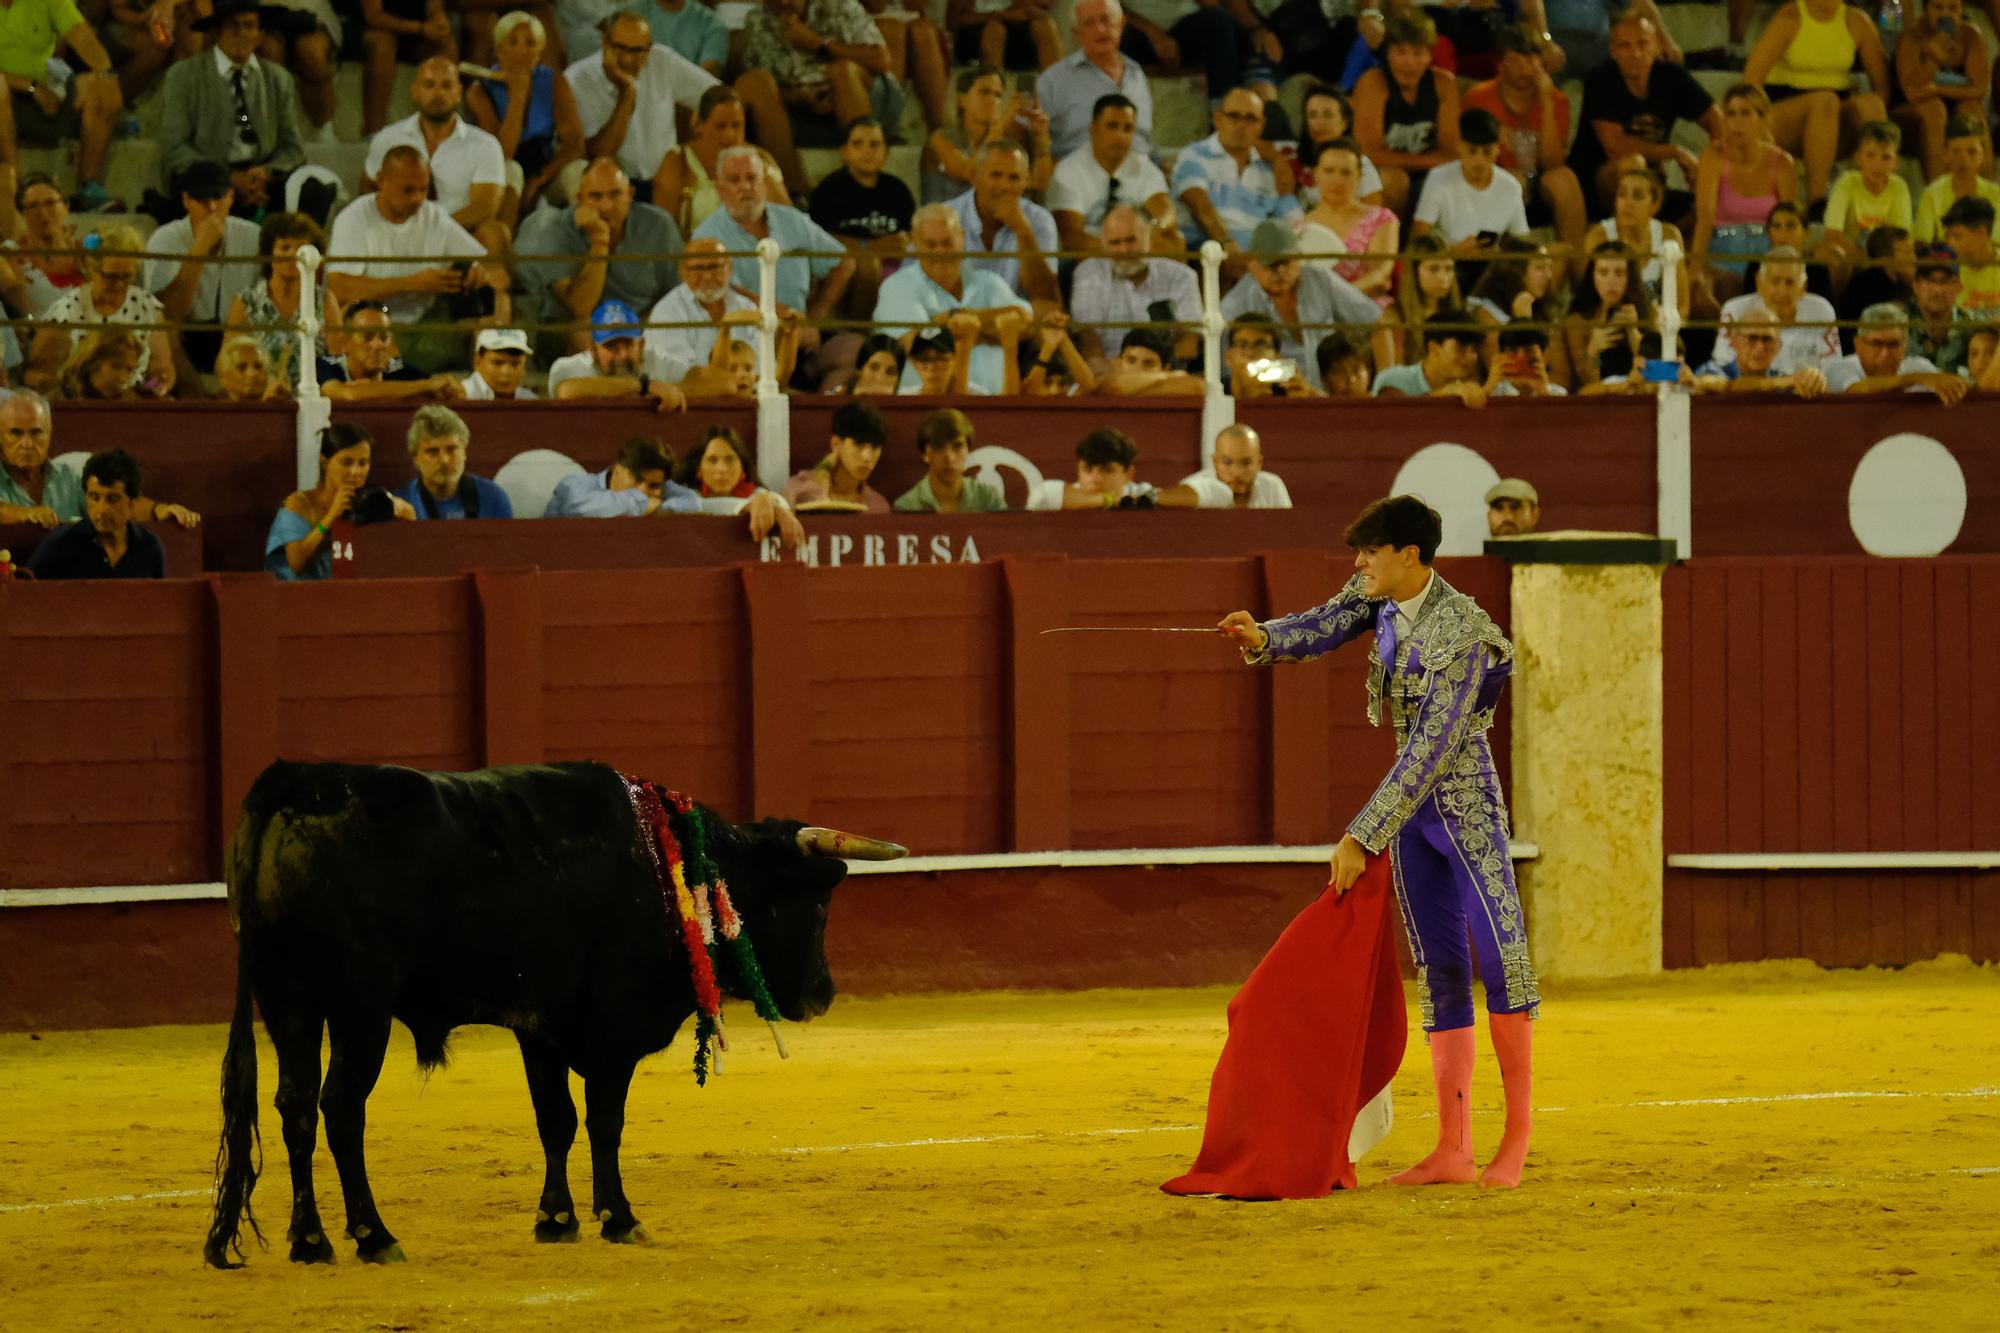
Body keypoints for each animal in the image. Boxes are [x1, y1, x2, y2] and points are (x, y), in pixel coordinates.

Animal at [203, 756, 908, 1264]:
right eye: (816, 904)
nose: (823, 994)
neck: (668, 866)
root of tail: (293, 779)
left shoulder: (538, 1027)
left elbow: (556, 1121)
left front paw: (556, 1217)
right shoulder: (614, 1027)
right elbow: (603, 1120)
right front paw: (619, 1217)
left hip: (288, 998)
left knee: (294, 1107)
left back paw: (310, 1240)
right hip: (361, 1006)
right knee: (341, 1108)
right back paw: (373, 1235)